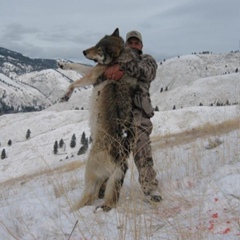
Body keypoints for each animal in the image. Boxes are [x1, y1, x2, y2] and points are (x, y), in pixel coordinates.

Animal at [60, 28, 141, 212]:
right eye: (96, 43)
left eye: (99, 50)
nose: (84, 51)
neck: (118, 59)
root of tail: (120, 162)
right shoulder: (93, 71)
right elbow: (77, 66)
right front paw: (62, 64)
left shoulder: (93, 75)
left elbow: (74, 81)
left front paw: (66, 94)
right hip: (105, 178)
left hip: (89, 167)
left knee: (89, 195)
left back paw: (71, 209)